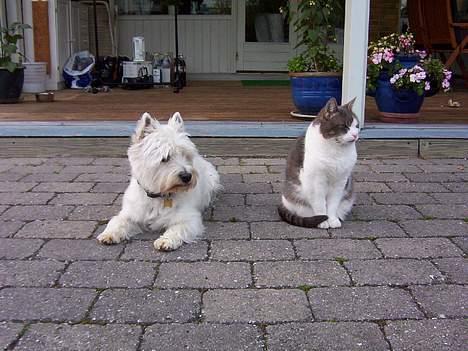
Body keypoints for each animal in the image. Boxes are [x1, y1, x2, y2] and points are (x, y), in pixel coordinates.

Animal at [97, 111, 221, 252]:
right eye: (165, 158)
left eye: (186, 155)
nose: (187, 176)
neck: (159, 195)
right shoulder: (130, 214)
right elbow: (117, 221)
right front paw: (109, 234)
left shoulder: (189, 219)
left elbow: (177, 228)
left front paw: (165, 240)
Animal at [280, 97, 360, 230]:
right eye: (345, 126)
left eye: (357, 126)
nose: (355, 134)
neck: (336, 151)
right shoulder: (316, 181)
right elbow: (320, 204)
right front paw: (323, 221)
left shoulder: (340, 181)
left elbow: (333, 204)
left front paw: (332, 220)